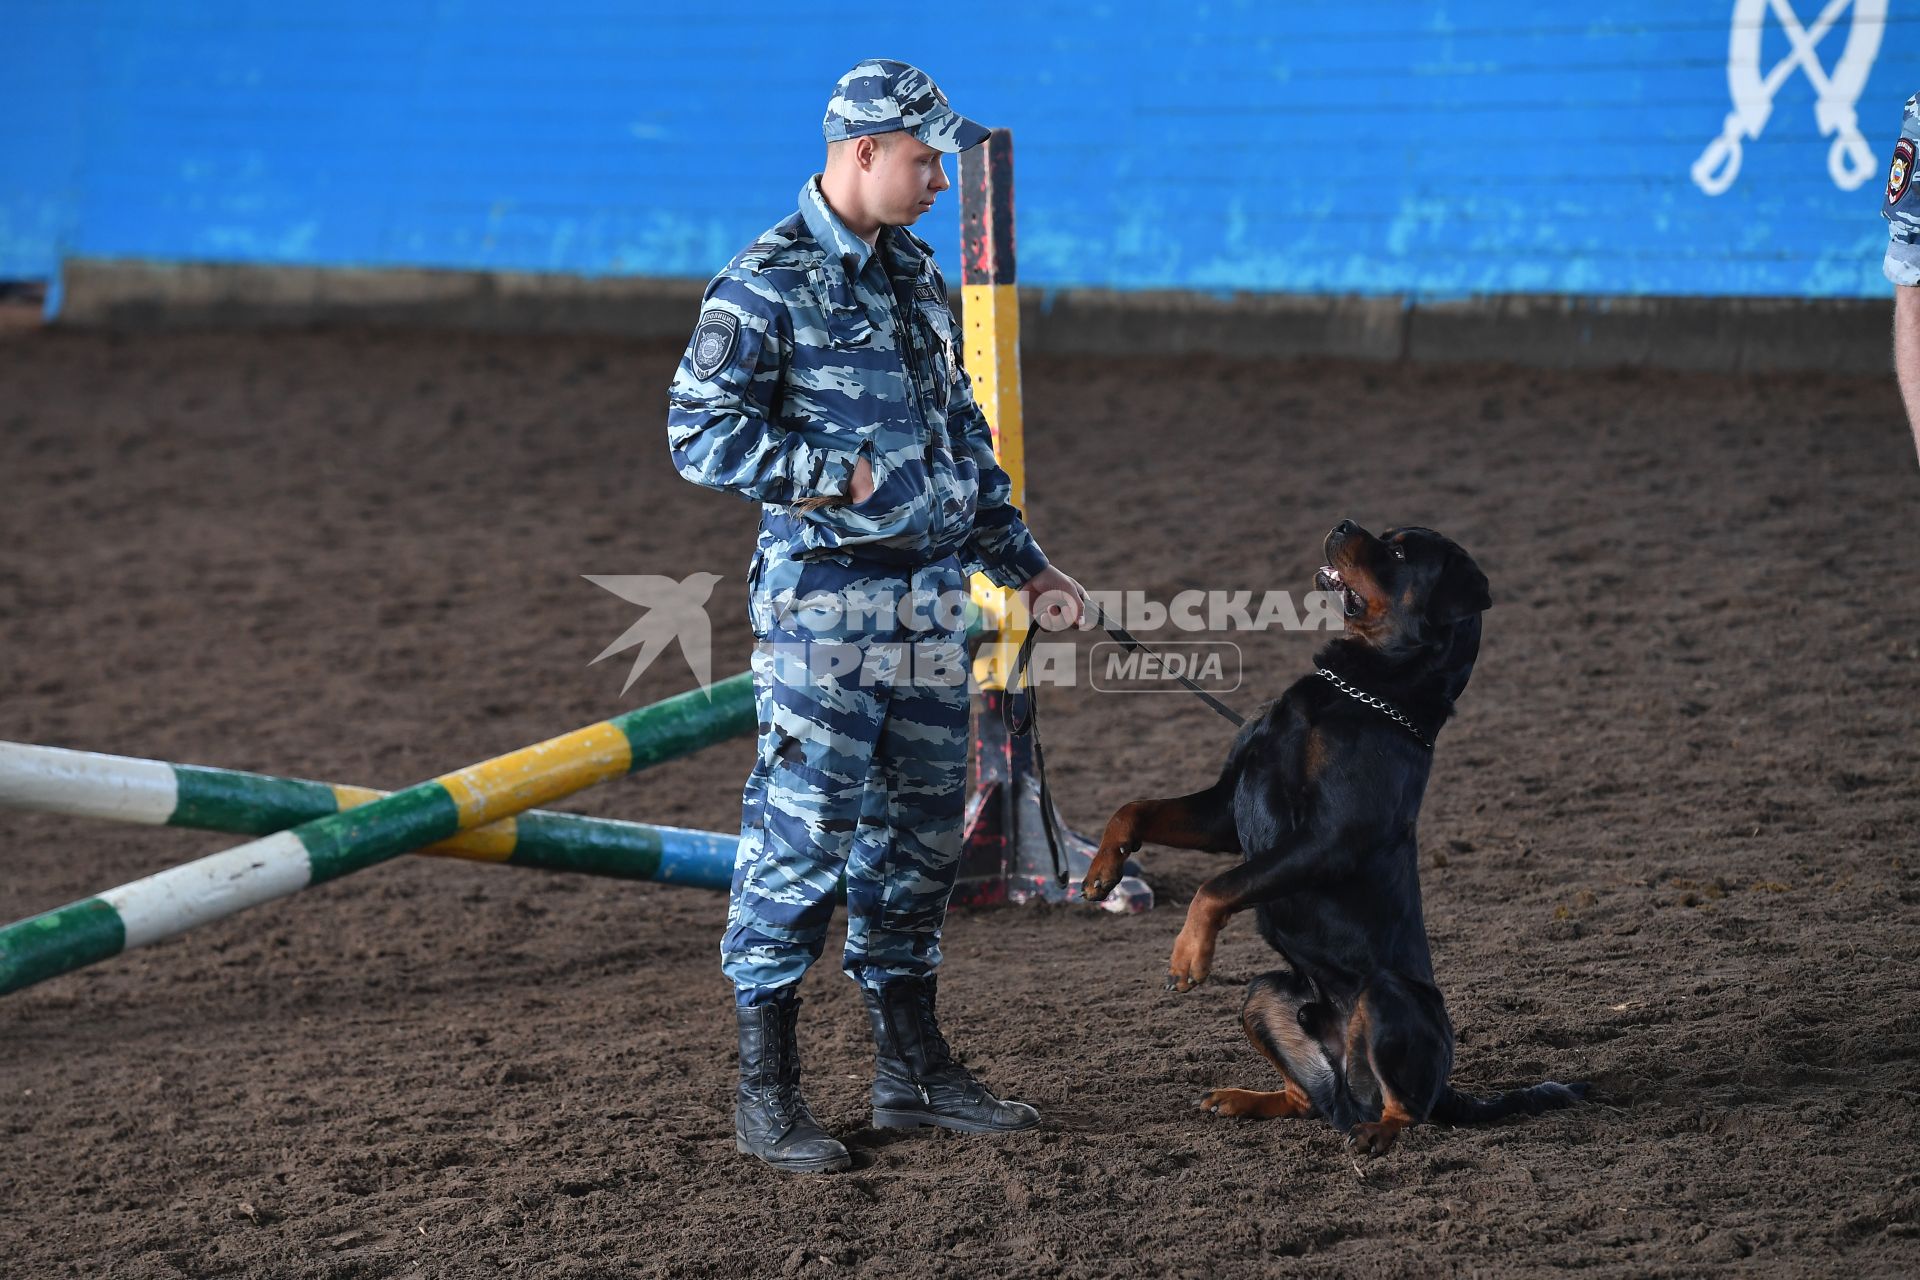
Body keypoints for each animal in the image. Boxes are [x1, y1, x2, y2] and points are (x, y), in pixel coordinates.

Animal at [1090, 521, 1582, 1159]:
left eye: (1397, 551)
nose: (1343, 524)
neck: (1362, 691)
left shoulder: (1328, 837)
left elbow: (1217, 886)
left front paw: (1188, 955)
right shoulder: (1225, 809)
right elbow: (1136, 810)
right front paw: (1103, 869)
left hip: (1388, 996)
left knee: (1408, 1109)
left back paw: (1377, 1133)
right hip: (1266, 993)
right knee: (1309, 1100)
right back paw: (1244, 1100)